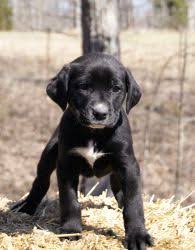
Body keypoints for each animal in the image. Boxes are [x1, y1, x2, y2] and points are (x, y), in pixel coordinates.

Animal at [12, 52, 152, 248]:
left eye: (116, 88)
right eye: (83, 87)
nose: (100, 113)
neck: (94, 133)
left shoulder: (128, 165)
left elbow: (134, 202)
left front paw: (137, 235)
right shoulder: (66, 164)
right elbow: (69, 200)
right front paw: (71, 230)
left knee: (119, 188)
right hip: (48, 154)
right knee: (41, 181)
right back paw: (27, 207)